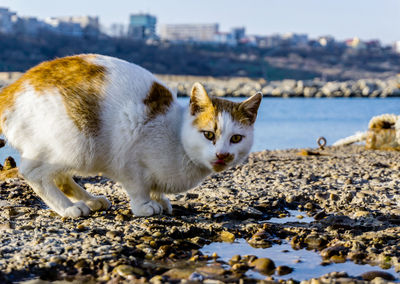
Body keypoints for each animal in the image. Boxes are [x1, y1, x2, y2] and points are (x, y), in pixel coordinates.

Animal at [0, 53, 262, 217]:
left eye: (236, 138)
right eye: (209, 134)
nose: (222, 155)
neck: (177, 138)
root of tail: (12, 88)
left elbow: (155, 188)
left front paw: (160, 199)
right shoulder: (130, 160)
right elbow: (137, 187)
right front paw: (145, 206)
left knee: (62, 177)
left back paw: (91, 200)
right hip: (76, 143)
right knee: (33, 173)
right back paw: (68, 209)